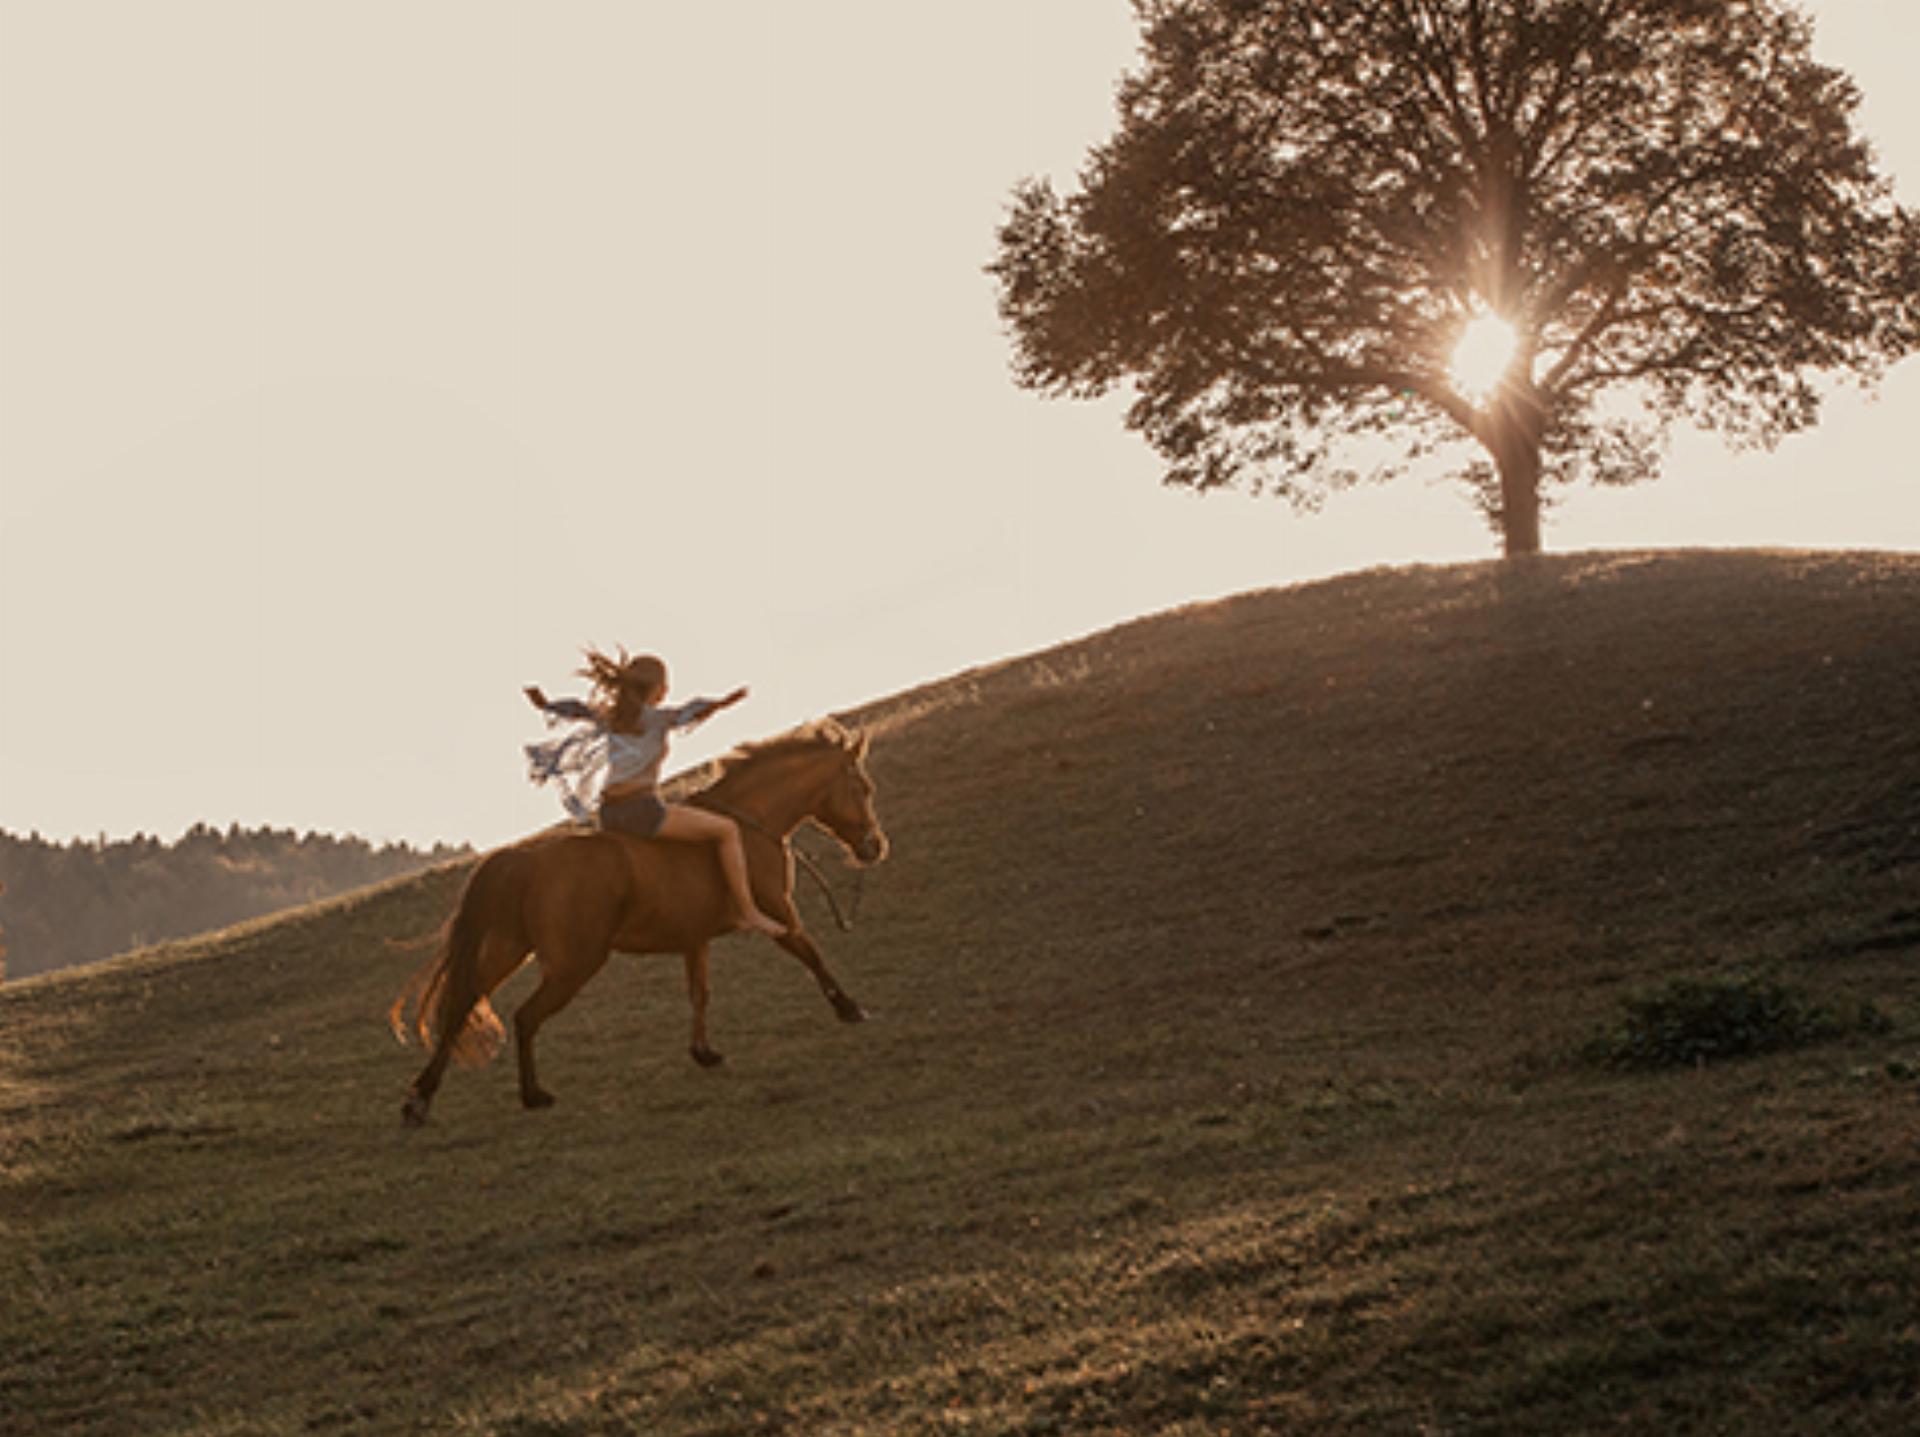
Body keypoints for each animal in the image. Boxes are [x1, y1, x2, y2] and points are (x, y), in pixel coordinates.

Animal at [391, 722, 898, 1129]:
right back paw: (533, 1096)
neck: (748, 824)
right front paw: (850, 1008)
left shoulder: (695, 939)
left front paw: (704, 1052)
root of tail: (525, 859)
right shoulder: (778, 912)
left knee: (461, 1007)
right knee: (524, 1017)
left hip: (507, 950)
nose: (875, 847)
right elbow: (810, 952)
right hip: (573, 965)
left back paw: (420, 1101)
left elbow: (700, 992)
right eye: (864, 787)